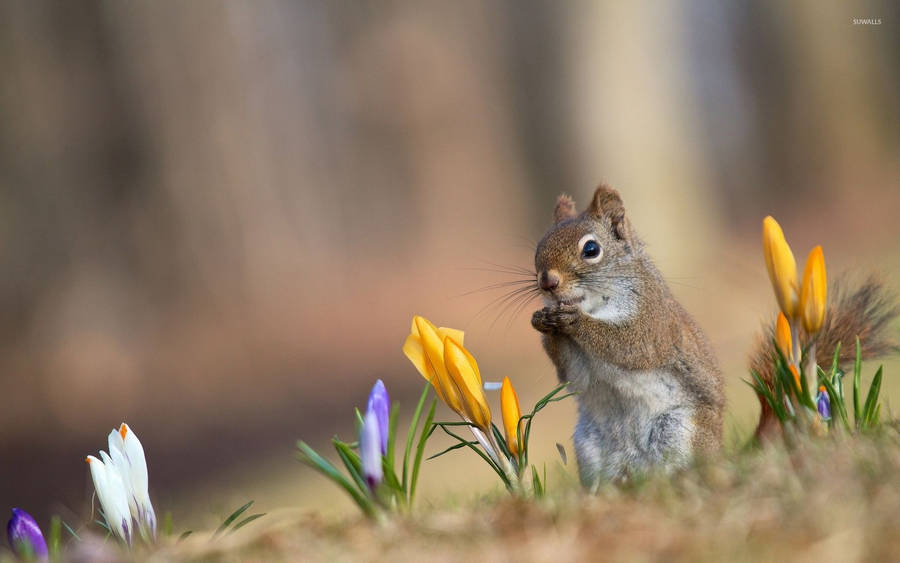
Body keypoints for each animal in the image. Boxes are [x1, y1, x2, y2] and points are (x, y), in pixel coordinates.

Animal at [530, 184, 899, 487]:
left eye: (591, 249)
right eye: (539, 247)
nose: (548, 282)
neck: (596, 302)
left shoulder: (654, 321)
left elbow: (631, 347)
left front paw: (574, 321)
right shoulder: (580, 367)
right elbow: (573, 373)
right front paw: (544, 323)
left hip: (680, 432)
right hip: (592, 448)